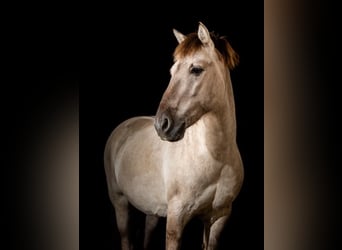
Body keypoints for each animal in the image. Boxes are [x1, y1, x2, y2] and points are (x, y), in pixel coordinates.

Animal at [104, 22, 243, 250]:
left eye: (196, 69)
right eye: (172, 71)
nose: (162, 125)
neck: (216, 159)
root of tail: (123, 127)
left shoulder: (218, 218)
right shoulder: (176, 220)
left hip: (152, 210)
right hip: (120, 203)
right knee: (125, 237)